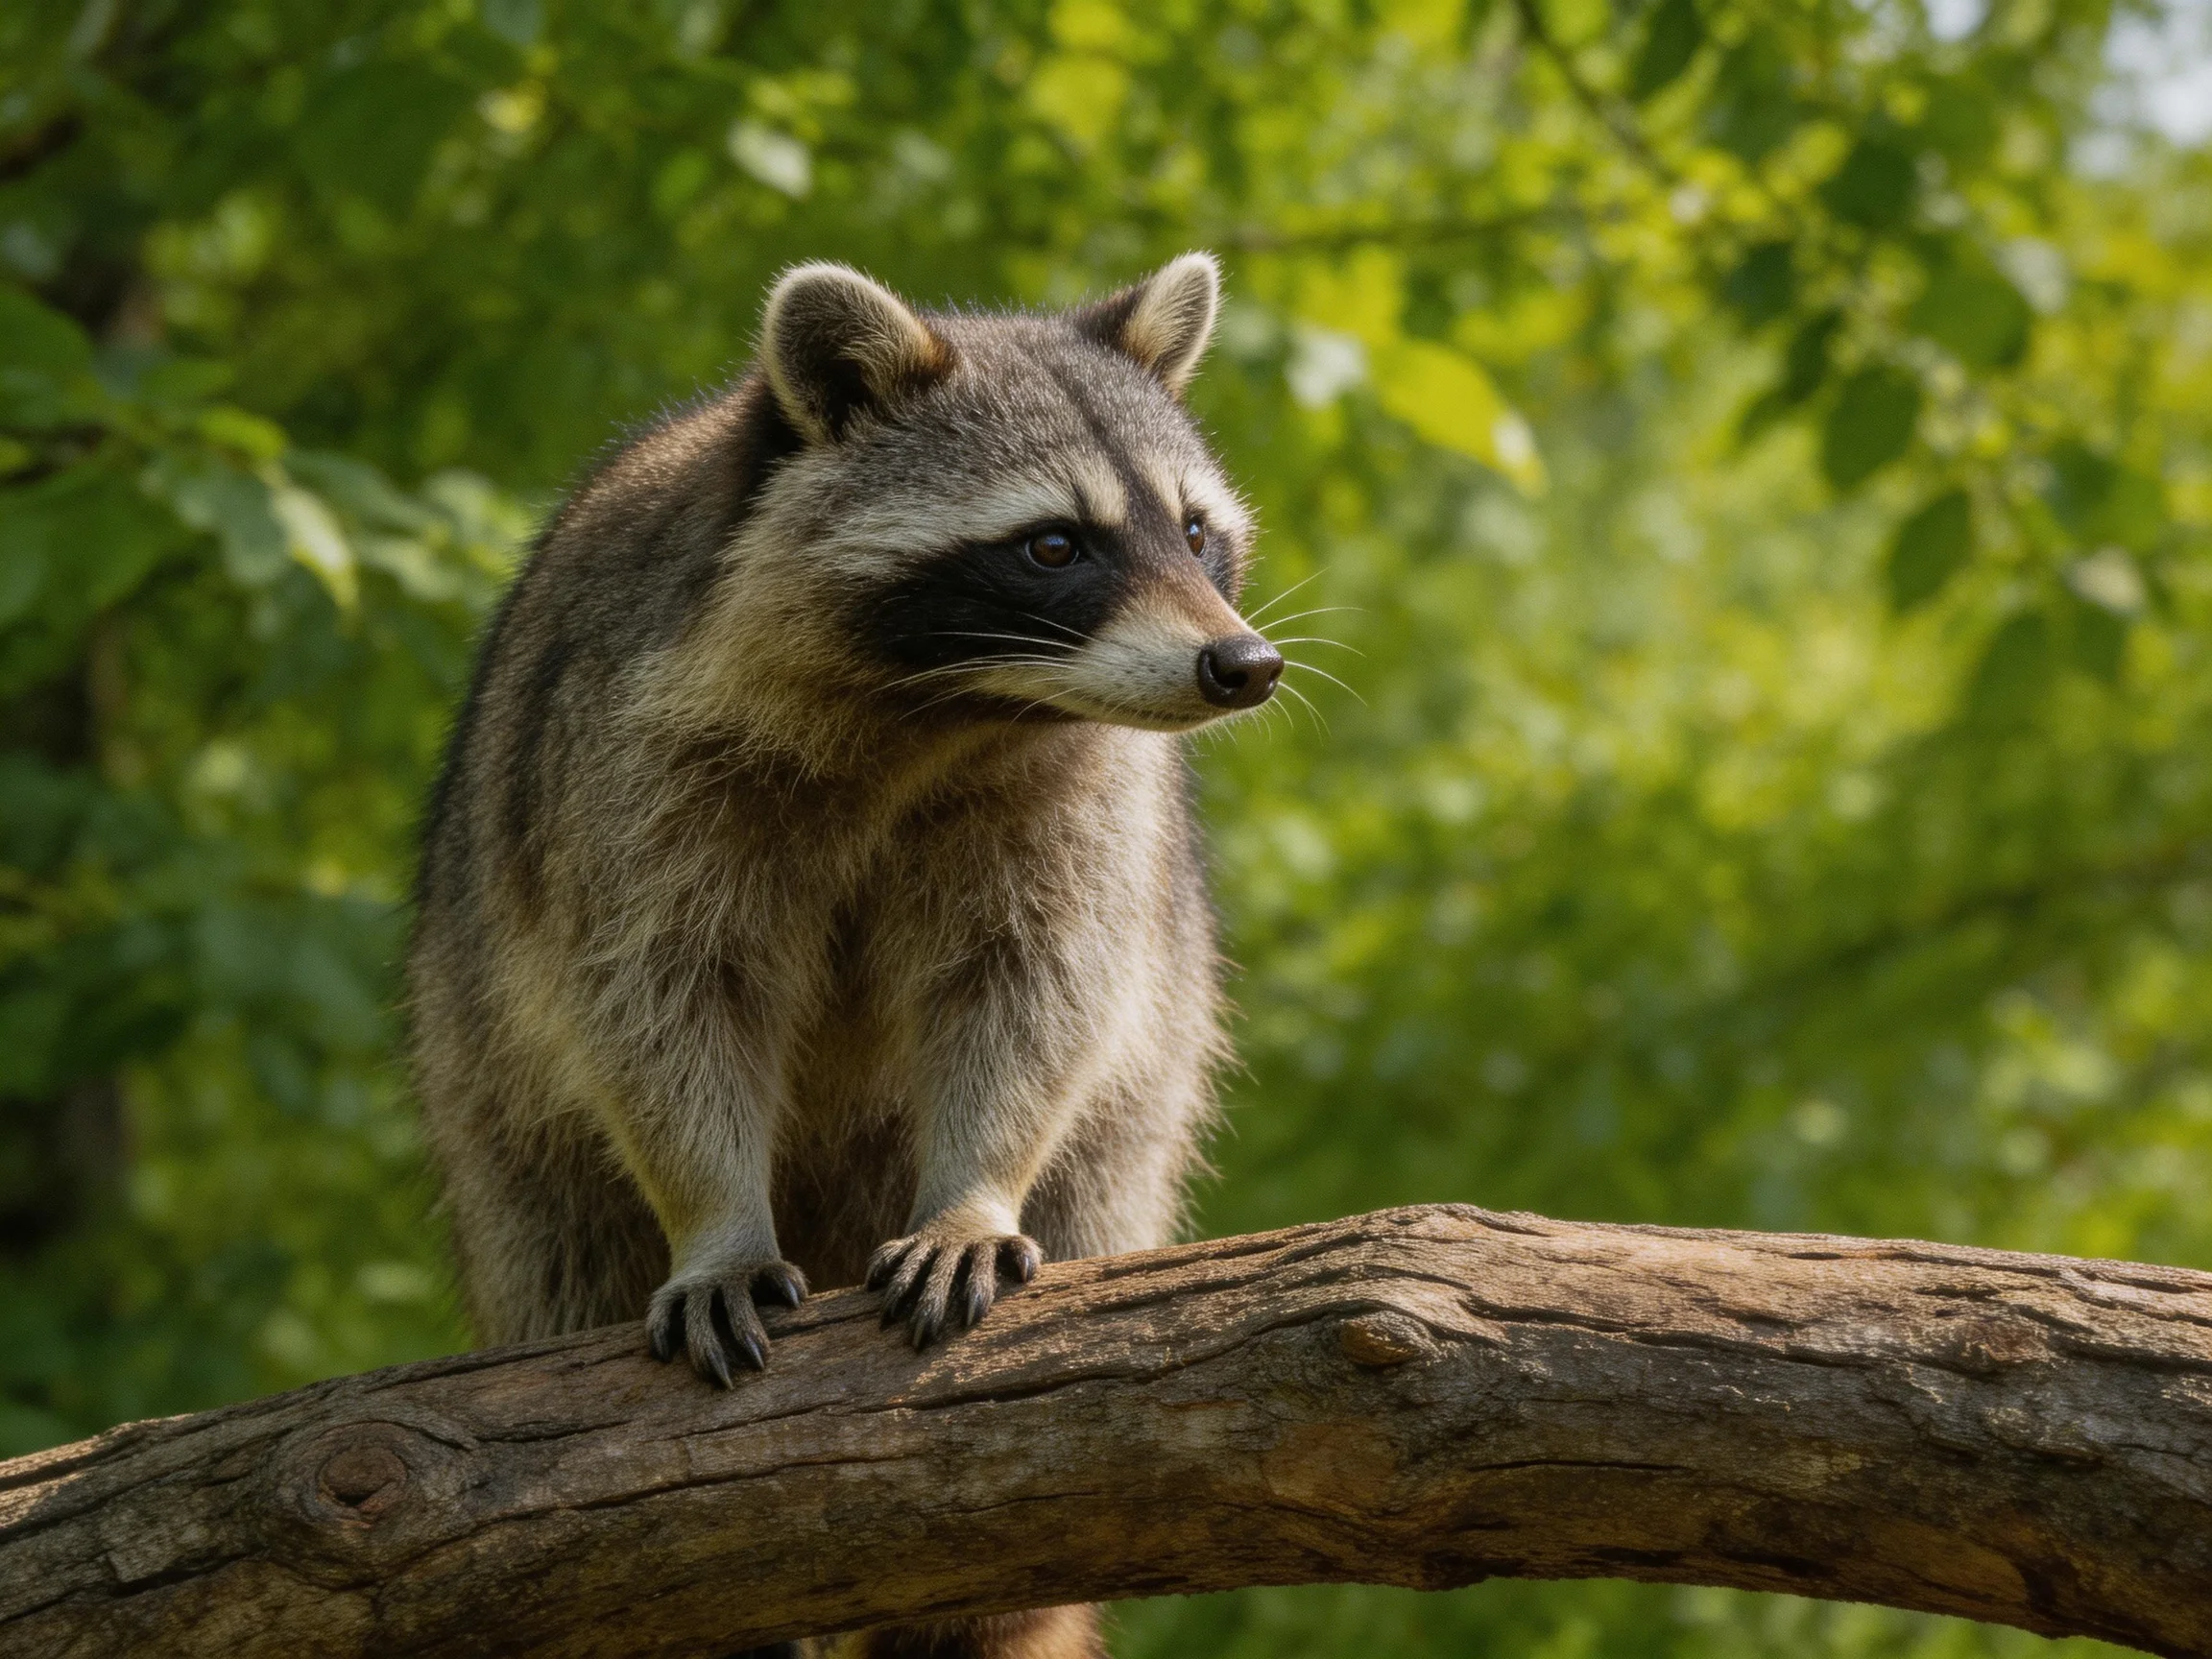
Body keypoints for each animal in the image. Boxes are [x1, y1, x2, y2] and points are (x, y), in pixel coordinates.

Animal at [407, 253, 1277, 1658]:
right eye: (1054, 544)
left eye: (1195, 532)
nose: (1244, 664)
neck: (950, 707)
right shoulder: (630, 770)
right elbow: (659, 999)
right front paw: (714, 1218)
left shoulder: (1081, 800)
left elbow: (1034, 987)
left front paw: (976, 1188)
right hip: (501, 1134)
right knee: (555, 1228)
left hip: (1127, 1156)